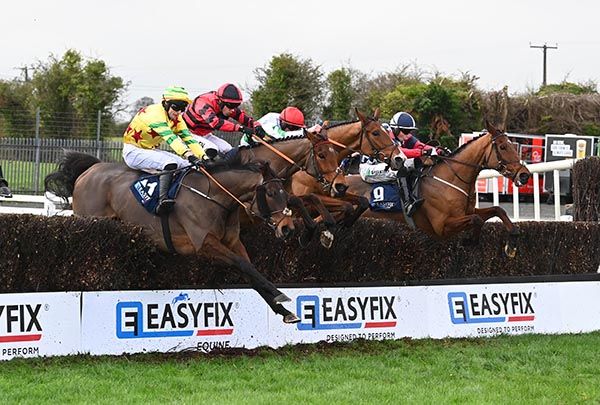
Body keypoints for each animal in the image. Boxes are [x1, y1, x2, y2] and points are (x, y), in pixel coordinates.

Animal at [44, 150, 302, 324]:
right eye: (271, 193)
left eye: (285, 192)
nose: (288, 228)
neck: (215, 196)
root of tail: (89, 170)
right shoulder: (204, 244)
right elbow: (243, 265)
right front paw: (281, 296)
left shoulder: (232, 242)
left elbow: (252, 271)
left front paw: (284, 310)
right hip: (90, 222)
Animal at [342, 120, 528, 256]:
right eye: (503, 147)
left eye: (512, 145)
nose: (524, 175)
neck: (451, 178)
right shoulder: (441, 227)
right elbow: (477, 220)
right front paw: (471, 240)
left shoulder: (467, 212)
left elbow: (498, 209)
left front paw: (512, 243)